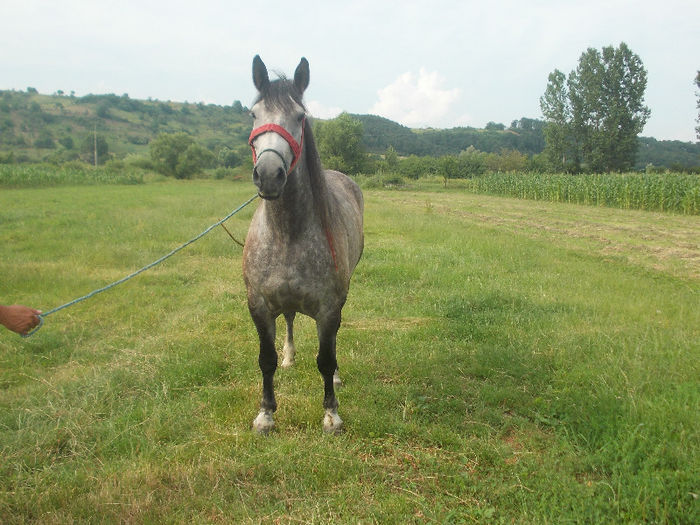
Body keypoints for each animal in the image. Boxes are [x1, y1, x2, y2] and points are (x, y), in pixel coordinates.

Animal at [242, 55, 364, 432]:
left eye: (299, 116)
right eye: (253, 114)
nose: (269, 175)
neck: (287, 234)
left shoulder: (328, 309)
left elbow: (326, 358)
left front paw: (332, 414)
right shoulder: (258, 306)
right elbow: (264, 360)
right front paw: (266, 414)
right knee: (291, 319)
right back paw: (289, 357)